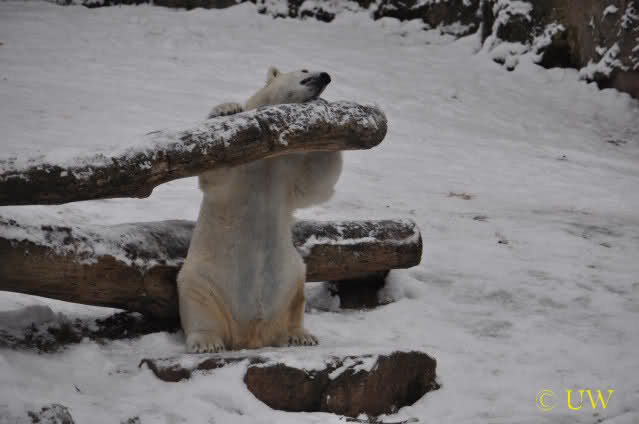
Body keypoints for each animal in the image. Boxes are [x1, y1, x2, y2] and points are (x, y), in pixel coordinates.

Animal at [177, 67, 343, 353]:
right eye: (304, 70)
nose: (325, 76)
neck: (266, 157)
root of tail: (251, 335)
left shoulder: (287, 169)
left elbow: (316, 181)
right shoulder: (243, 166)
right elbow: (216, 171)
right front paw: (226, 109)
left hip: (290, 278)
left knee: (296, 298)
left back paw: (300, 335)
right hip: (205, 278)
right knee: (197, 302)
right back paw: (207, 342)